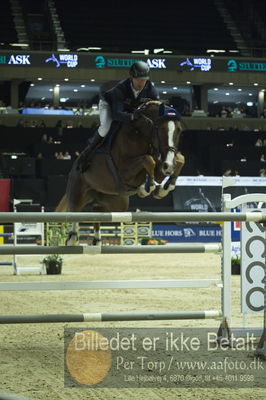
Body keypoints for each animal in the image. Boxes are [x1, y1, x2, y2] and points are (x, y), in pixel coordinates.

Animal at [55, 101, 185, 244]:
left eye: (179, 130)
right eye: (160, 129)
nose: (169, 166)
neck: (139, 134)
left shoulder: (159, 169)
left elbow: (179, 159)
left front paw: (164, 188)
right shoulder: (124, 171)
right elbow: (148, 160)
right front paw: (147, 188)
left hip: (116, 203)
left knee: (97, 210)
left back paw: (97, 240)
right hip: (77, 192)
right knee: (74, 213)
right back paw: (73, 237)